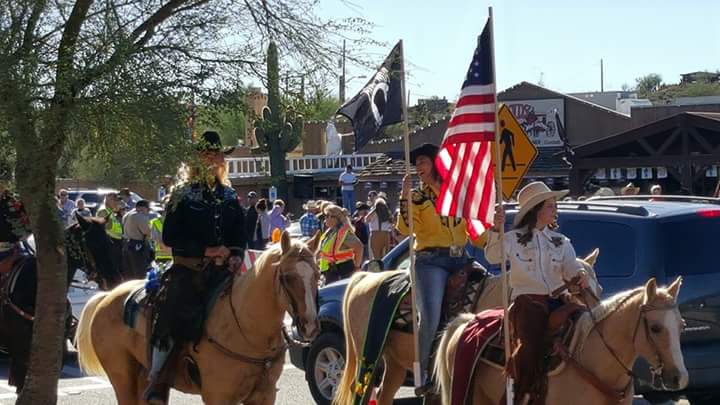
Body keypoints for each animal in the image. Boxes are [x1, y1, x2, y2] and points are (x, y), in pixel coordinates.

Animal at [74, 230, 320, 404]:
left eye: (317, 275)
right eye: (287, 277)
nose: (310, 326)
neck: (247, 331)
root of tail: (106, 296)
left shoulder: (265, 396)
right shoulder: (218, 396)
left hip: (143, 376)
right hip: (122, 378)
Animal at [334, 249, 604, 404]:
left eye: (598, 288)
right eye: (575, 289)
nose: (596, 317)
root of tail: (363, 279)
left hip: (395, 364)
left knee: (383, 394)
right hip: (366, 354)